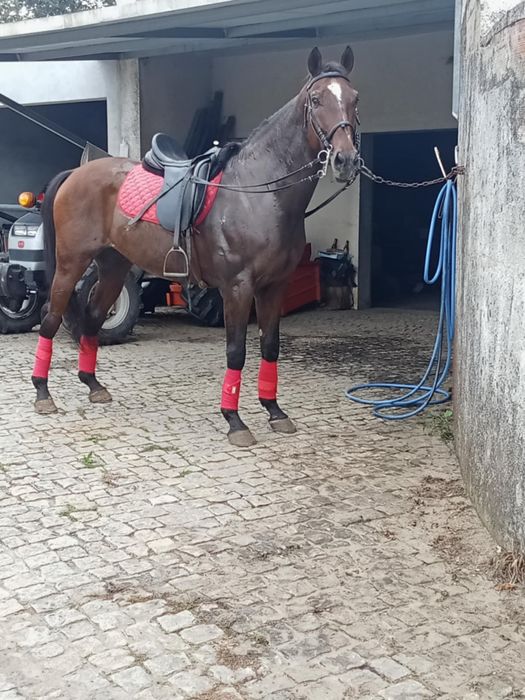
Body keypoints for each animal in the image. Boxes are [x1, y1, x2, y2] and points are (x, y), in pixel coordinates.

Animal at [31, 46, 360, 447]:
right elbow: (236, 351)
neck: (258, 191)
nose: (346, 160)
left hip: (113, 266)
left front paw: (274, 411)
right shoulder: (238, 288)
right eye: (316, 100)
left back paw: (93, 385)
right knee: (51, 315)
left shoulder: (274, 286)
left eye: (355, 99)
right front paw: (235, 421)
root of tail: (76, 174)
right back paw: (42, 393)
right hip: (72, 263)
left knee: (93, 317)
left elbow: (270, 345)